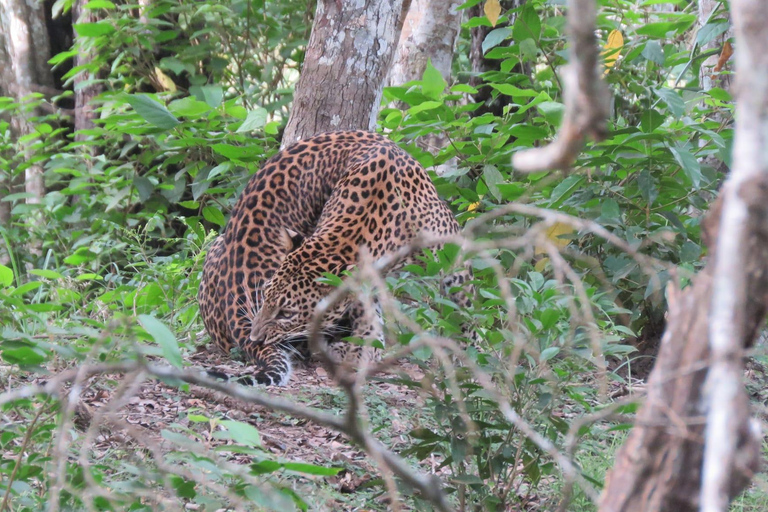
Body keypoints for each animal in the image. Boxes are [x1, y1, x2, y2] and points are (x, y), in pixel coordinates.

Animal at [198, 130, 474, 386]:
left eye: (286, 313)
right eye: (264, 297)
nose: (256, 338)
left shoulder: (453, 252)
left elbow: (467, 308)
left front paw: (471, 356)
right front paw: (366, 347)